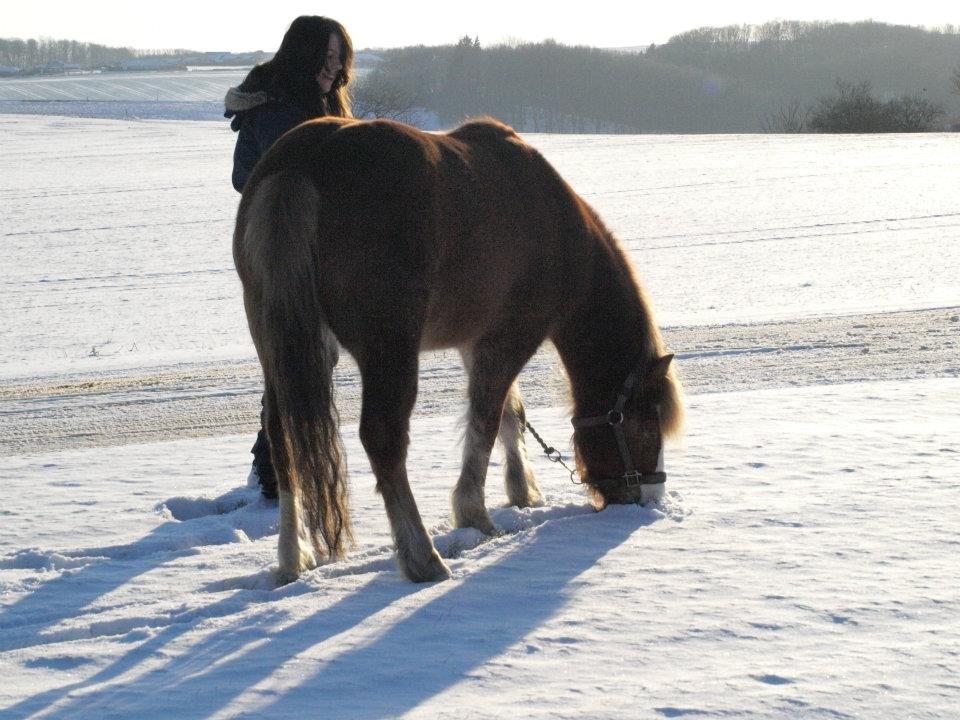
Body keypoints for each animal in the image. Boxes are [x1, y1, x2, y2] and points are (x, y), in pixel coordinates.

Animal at [232, 114, 684, 584]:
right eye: (645, 424)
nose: (649, 495)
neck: (559, 231)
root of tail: (301, 165)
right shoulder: (508, 339)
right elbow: (486, 421)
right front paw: (475, 516)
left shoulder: (475, 342)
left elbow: (511, 414)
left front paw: (522, 492)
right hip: (389, 352)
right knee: (383, 438)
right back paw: (422, 557)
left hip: (280, 348)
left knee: (281, 435)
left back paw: (292, 557)